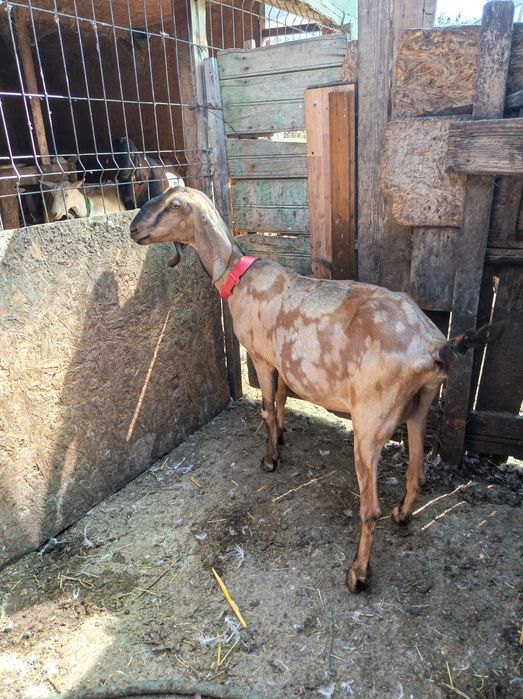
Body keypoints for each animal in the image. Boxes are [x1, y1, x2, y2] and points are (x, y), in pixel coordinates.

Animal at [129, 186, 501, 593]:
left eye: (172, 206)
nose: (133, 229)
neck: (237, 276)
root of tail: (435, 346)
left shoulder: (261, 356)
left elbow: (266, 406)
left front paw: (270, 459)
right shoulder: (280, 362)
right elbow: (279, 400)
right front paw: (282, 436)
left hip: (372, 419)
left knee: (369, 508)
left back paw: (357, 574)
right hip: (420, 404)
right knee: (416, 473)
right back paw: (402, 515)